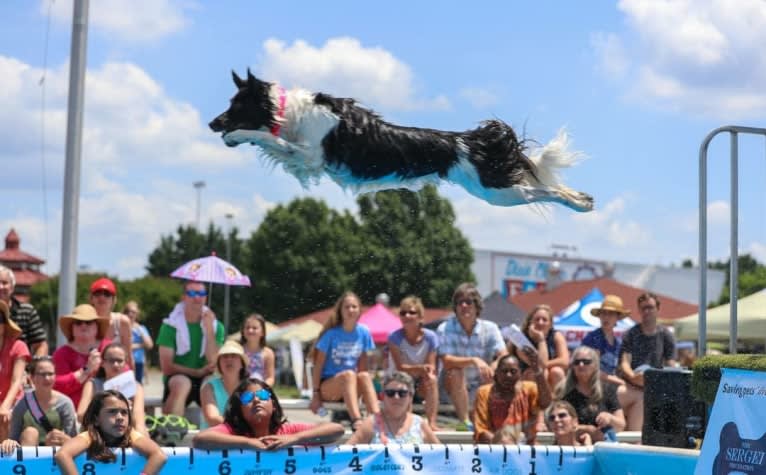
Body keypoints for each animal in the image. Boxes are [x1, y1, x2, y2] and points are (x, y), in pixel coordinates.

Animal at [213, 70, 596, 212]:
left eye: (235, 106)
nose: (212, 122)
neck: (289, 111)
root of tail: (471, 140)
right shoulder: (303, 160)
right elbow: (270, 140)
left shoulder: (309, 156)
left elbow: (262, 135)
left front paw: (236, 136)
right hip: (493, 189)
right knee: (543, 185)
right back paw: (582, 197)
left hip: (496, 191)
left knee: (545, 191)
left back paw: (579, 203)